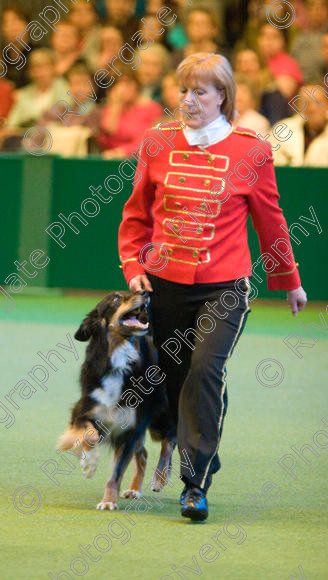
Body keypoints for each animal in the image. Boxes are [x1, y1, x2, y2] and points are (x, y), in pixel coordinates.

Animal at [58, 290, 177, 508]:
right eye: (115, 298)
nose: (145, 292)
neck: (119, 358)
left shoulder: (129, 429)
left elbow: (116, 472)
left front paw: (108, 502)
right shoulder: (82, 412)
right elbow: (88, 435)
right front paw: (88, 463)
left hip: (159, 418)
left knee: (169, 441)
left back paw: (160, 477)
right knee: (144, 454)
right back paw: (134, 489)